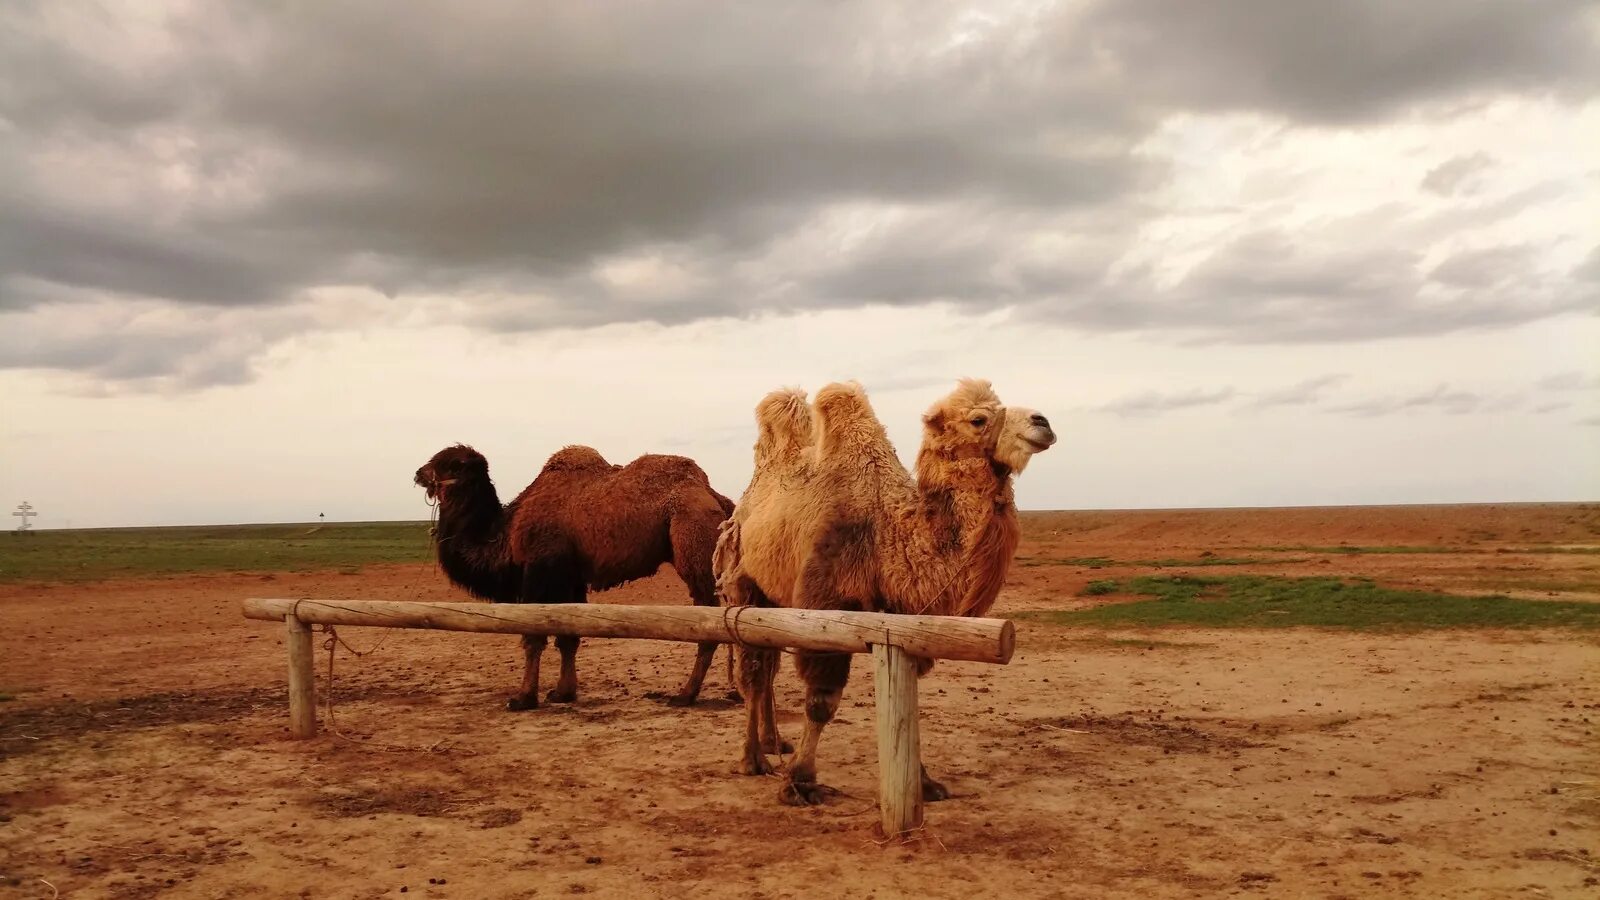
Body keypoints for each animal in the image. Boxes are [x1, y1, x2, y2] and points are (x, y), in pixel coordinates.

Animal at [416, 441, 732, 707]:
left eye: (449, 464)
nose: (418, 473)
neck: (506, 533)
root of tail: (716, 497)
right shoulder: (571, 579)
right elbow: (569, 635)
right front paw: (563, 692)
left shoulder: (540, 571)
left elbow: (534, 635)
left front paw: (523, 698)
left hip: (693, 543)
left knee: (708, 620)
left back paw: (685, 695)